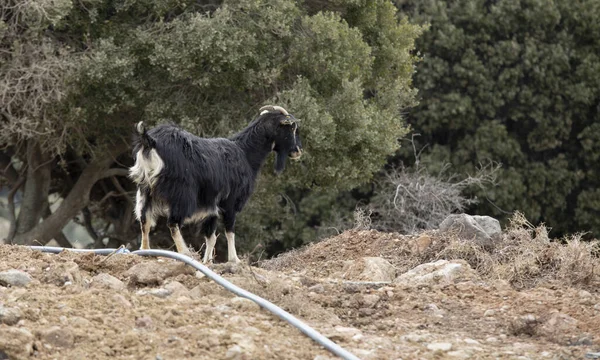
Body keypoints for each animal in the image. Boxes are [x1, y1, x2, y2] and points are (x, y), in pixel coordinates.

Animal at [128, 105, 302, 262]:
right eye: (292, 128)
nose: (298, 150)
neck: (245, 153)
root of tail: (150, 141)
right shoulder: (230, 201)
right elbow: (229, 230)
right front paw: (234, 259)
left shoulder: (212, 206)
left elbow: (211, 237)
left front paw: (208, 262)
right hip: (182, 193)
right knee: (173, 223)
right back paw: (185, 253)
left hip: (145, 190)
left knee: (144, 220)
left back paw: (145, 251)